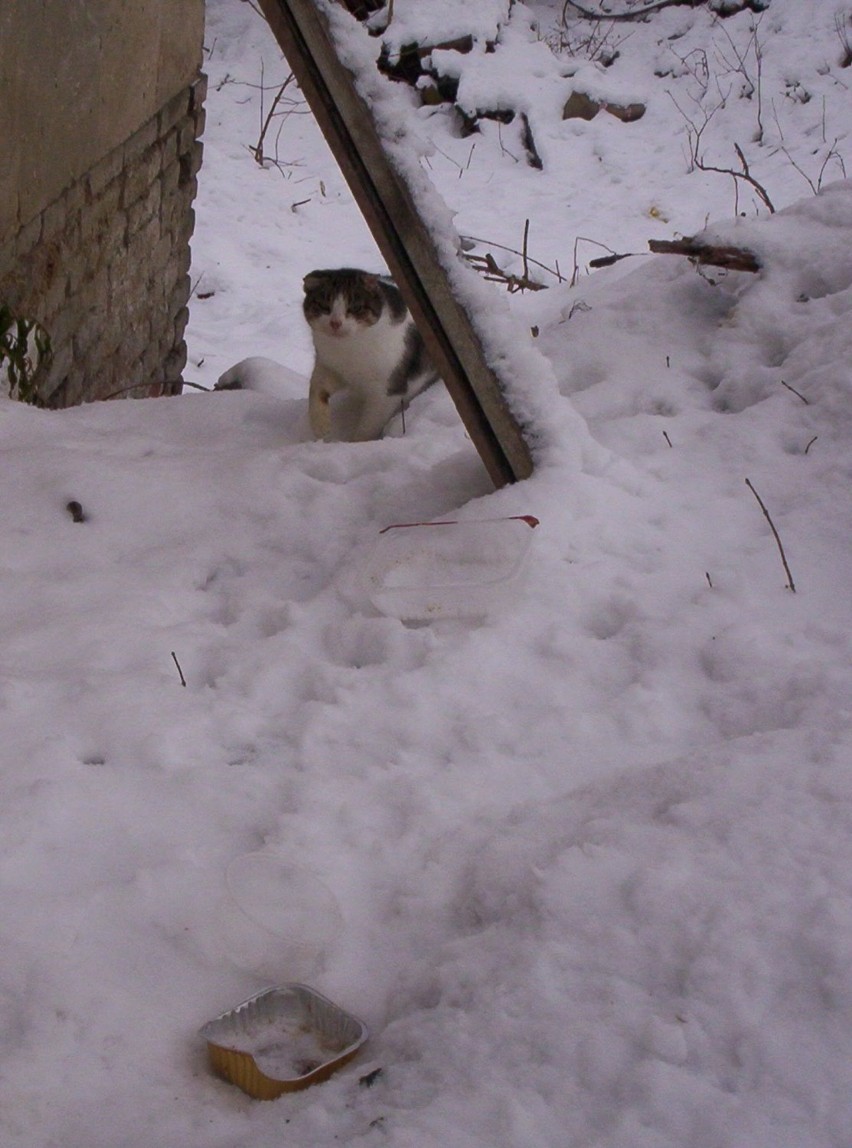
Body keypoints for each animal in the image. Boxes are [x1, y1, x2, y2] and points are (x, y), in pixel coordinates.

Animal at [303, 268, 440, 443]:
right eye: (324, 306)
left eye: (355, 307)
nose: (335, 323)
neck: (349, 348)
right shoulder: (330, 366)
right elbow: (316, 387)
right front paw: (321, 426)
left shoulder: (386, 390)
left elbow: (369, 426)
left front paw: (354, 444)